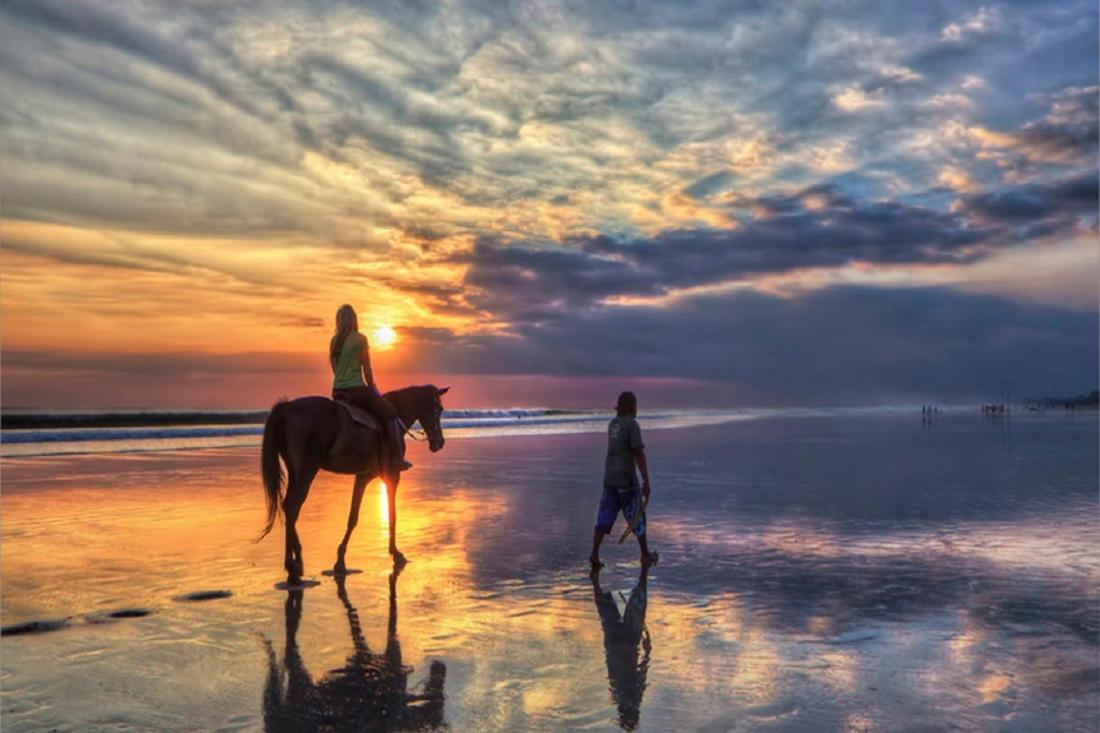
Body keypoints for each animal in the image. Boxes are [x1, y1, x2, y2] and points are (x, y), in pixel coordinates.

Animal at [259, 383, 448, 581]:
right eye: (438, 409)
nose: (439, 442)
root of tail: (286, 407)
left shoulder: (363, 476)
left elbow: (353, 517)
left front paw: (340, 561)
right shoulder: (392, 475)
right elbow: (392, 514)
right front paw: (396, 553)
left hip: (294, 470)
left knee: (288, 507)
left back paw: (294, 563)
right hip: (307, 469)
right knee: (293, 506)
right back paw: (295, 564)